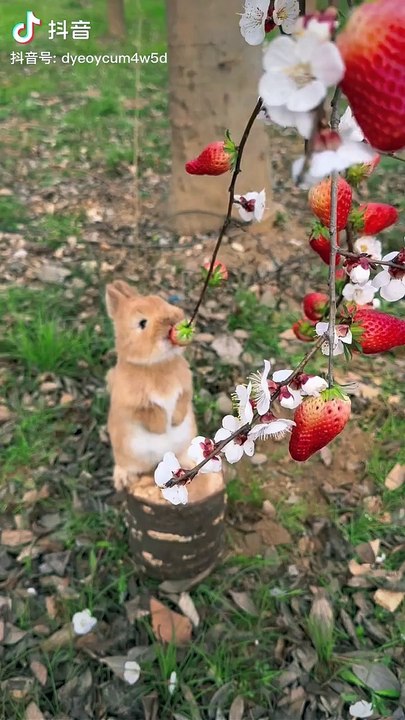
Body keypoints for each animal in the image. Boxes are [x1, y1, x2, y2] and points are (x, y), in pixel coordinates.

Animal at [105, 280, 198, 492]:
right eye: (142, 323)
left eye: (161, 301)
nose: (173, 319)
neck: (156, 364)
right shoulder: (134, 403)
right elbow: (150, 414)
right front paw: (162, 429)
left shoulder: (186, 387)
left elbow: (182, 401)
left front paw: (175, 421)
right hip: (126, 454)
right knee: (126, 465)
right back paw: (123, 480)